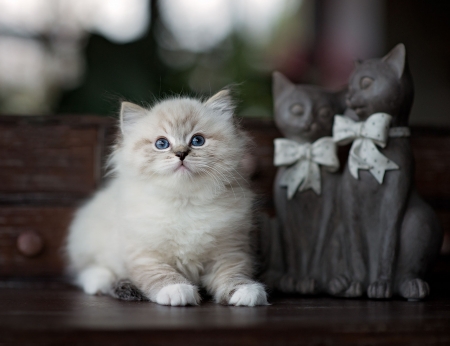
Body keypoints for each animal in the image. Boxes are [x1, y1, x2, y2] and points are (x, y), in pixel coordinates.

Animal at [66, 90, 268, 306]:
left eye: (197, 141)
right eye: (161, 144)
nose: (181, 154)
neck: (185, 201)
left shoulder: (229, 251)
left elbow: (234, 274)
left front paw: (246, 292)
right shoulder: (146, 255)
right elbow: (162, 275)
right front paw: (178, 291)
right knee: (90, 271)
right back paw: (102, 283)